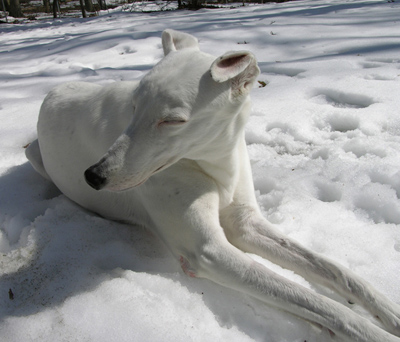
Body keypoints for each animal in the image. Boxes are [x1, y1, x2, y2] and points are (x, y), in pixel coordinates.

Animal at [27, 30, 400, 342]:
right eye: (133, 106)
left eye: (172, 120)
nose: (94, 176)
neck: (213, 161)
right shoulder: (208, 251)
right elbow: (319, 302)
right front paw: (373, 332)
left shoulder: (246, 223)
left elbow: (336, 270)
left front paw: (390, 313)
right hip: (33, 154)